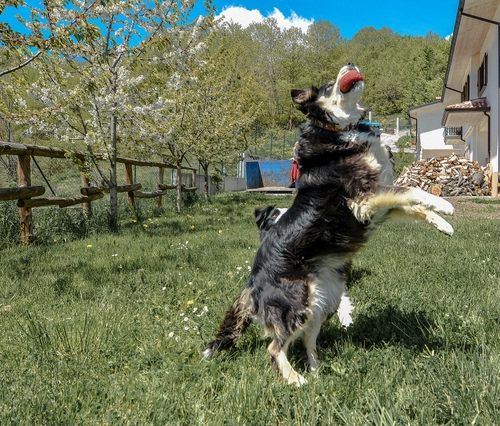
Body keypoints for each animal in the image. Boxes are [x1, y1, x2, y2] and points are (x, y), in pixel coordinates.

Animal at [204, 63, 454, 386]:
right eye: (326, 86)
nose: (350, 64)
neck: (342, 131)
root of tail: (251, 283)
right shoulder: (364, 196)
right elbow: (411, 191)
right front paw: (445, 204)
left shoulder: (379, 204)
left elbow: (414, 205)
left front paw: (443, 223)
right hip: (296, 301)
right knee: (275, 347)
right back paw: (296, 379)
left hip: (325, 299)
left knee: (306, 341)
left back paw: (318, 371)